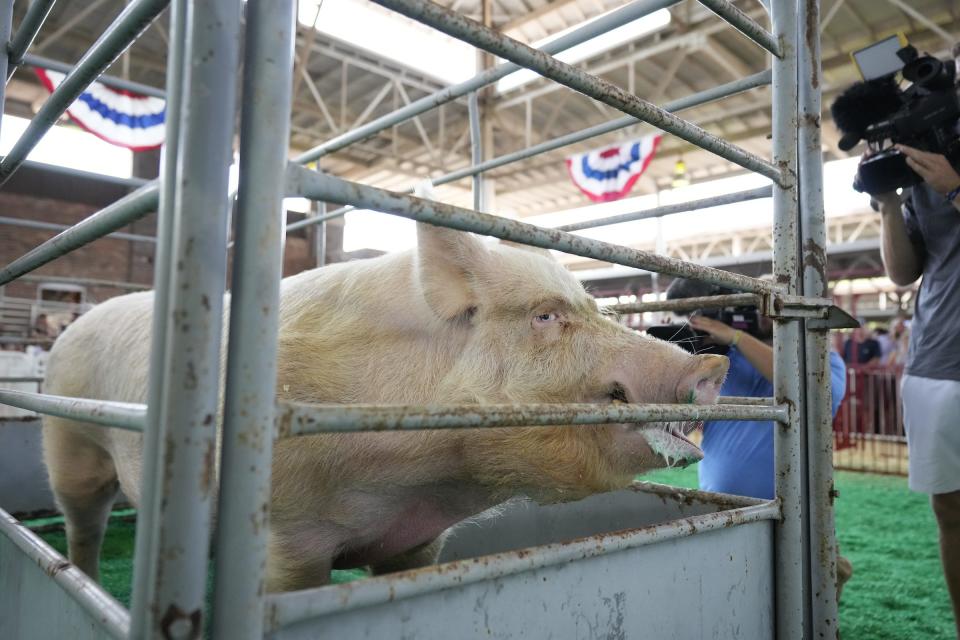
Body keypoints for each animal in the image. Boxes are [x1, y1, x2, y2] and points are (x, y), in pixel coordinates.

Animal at [39, 222, 728, 592]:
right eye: (545, 316)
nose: (711, 367)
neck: (421, 481)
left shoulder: (417, 544)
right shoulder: (285, 534)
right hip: (67, 443)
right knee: (81, 524)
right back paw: (88, 582)